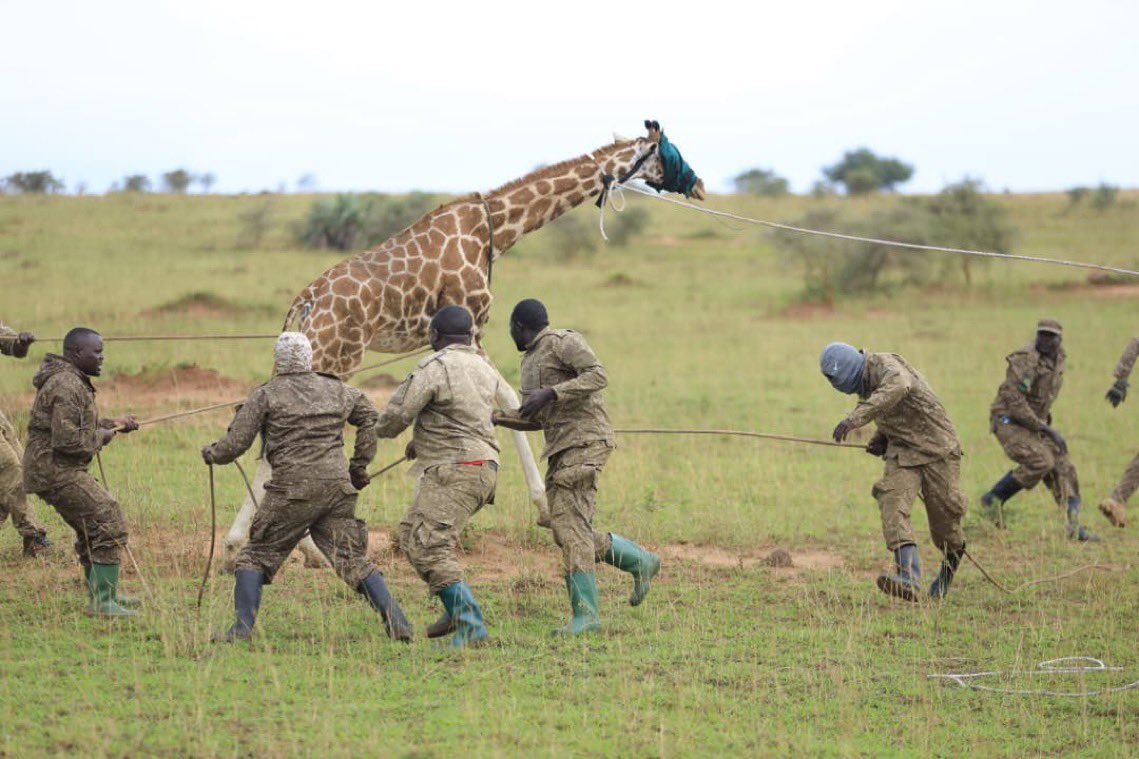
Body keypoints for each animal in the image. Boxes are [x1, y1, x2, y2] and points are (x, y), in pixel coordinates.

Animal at [221, 120, 705, 570]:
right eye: (672, 151)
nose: (698, 184)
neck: (497, 230)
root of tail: (306, 300)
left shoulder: (448, 336)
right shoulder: (473, 326)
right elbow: (504, 398)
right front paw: (544, 508)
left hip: (320, 350)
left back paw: (258, 543)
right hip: (339, 350)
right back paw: (274, 546)